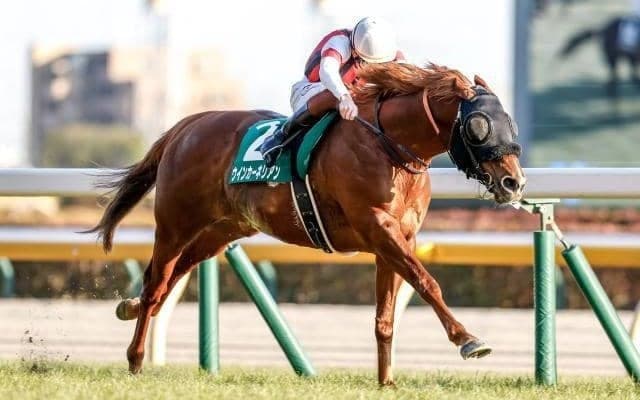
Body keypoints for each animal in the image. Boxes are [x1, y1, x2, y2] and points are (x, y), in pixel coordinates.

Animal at [89, 62, 526, 385]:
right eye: (479, 125)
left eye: (511, 123)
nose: (514, 182)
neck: (389, 148)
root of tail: (188, 126)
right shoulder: (377, 228)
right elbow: (427, 282)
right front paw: (468, 340)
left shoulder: (398, 238)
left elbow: (386, 315)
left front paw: (386, 381)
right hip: (176, 222)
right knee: (156, 281)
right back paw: (135, 356)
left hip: (222, 229)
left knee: (173, 275)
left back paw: (129, 308)